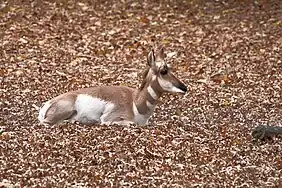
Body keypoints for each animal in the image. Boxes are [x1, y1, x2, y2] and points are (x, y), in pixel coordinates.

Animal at [38, 47, 187, 125]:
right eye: (163, 71)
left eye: (171, 68)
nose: (184, 88)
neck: (135, 103)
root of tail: (48, 103)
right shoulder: (108, 119)